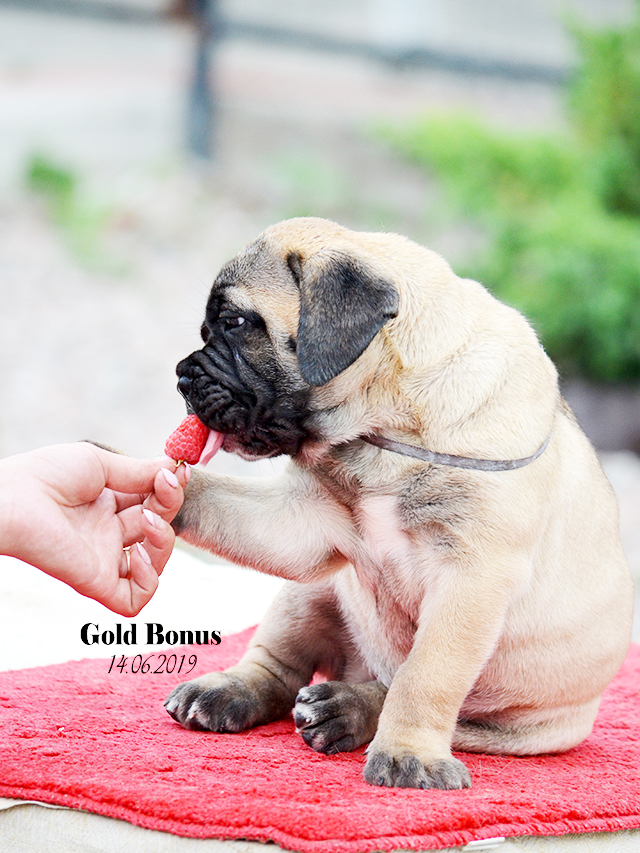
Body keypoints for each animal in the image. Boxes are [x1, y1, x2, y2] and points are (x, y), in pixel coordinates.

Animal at [162, 216, 632, 788]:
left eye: (234, 322)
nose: (182, 375)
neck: (384, 427)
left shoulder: (469, 582)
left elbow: (424, 676)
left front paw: (409, 753)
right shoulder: (305, 524)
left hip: (520, 726)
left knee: (400, 692)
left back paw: (346, 709)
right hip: (312, 592)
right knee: (277, 666)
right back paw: (229, 691)